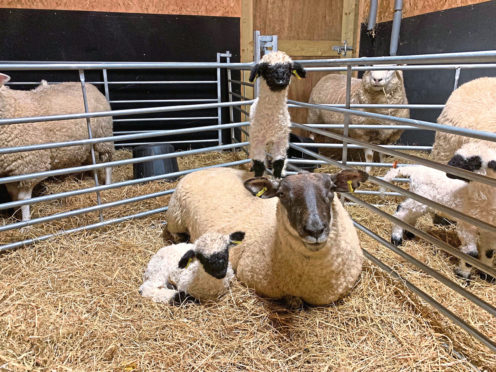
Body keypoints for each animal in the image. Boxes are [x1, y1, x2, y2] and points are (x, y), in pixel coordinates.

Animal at [0, 74, 113, 222]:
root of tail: (90, 85)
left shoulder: (31, 166)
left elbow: (23, 199)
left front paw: (25, 223)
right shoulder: (9, 171)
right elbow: (13, 196)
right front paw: (15, 217)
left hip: (104, 135)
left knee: (107, 162)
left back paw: (108, 185)